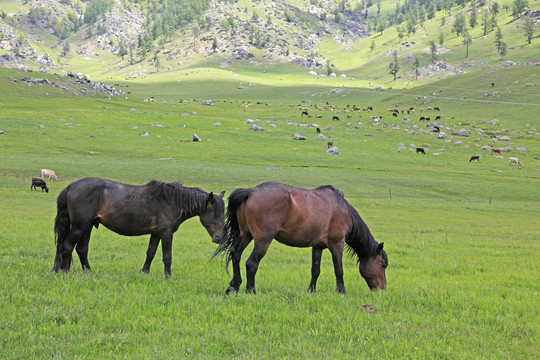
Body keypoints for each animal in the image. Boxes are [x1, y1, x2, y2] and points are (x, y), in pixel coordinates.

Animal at [51, 179, 225, 278]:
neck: (171, 202)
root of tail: (70, 187)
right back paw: (65, 272)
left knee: (81, 249)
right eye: (216, 214)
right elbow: (167, 256)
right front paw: (168, 277)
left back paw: (87, 271)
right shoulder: (166, 233)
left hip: (87, 227)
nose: (220, 238)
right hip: (79, 227)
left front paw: (144, 272)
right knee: (67, 247)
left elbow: (151, 253)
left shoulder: (156, 233)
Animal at [215, 181, 388, 294]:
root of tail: (250, 192)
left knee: (235, 255)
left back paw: (234, 286)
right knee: (251, 263)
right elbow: (339, 270)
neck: (342, 209)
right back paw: (251, 290)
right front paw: (342, 292)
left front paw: (311, 291)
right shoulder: (337, 244)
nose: (383, 290)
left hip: (245, 235)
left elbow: (315, 270)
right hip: (263, 241)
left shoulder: (317, 247)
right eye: (382, 265)